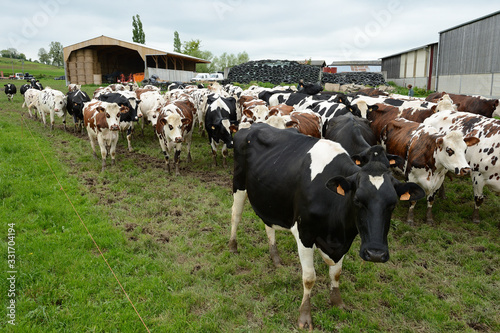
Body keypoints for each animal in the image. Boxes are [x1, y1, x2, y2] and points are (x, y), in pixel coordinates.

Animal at [229, 122, 424, 330]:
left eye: (393, 204)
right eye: (357, 200)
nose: (376, 254)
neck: (337, 231)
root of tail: (254, 124)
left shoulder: (344, 241)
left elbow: (336, 273)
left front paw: (337, 302)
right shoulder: (304, 234)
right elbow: (309, 278)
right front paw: (305, 317)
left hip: (270, 196)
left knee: (268, 224)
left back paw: (275, 257)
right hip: (239, 183)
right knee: (235, 214)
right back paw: (232, 246)